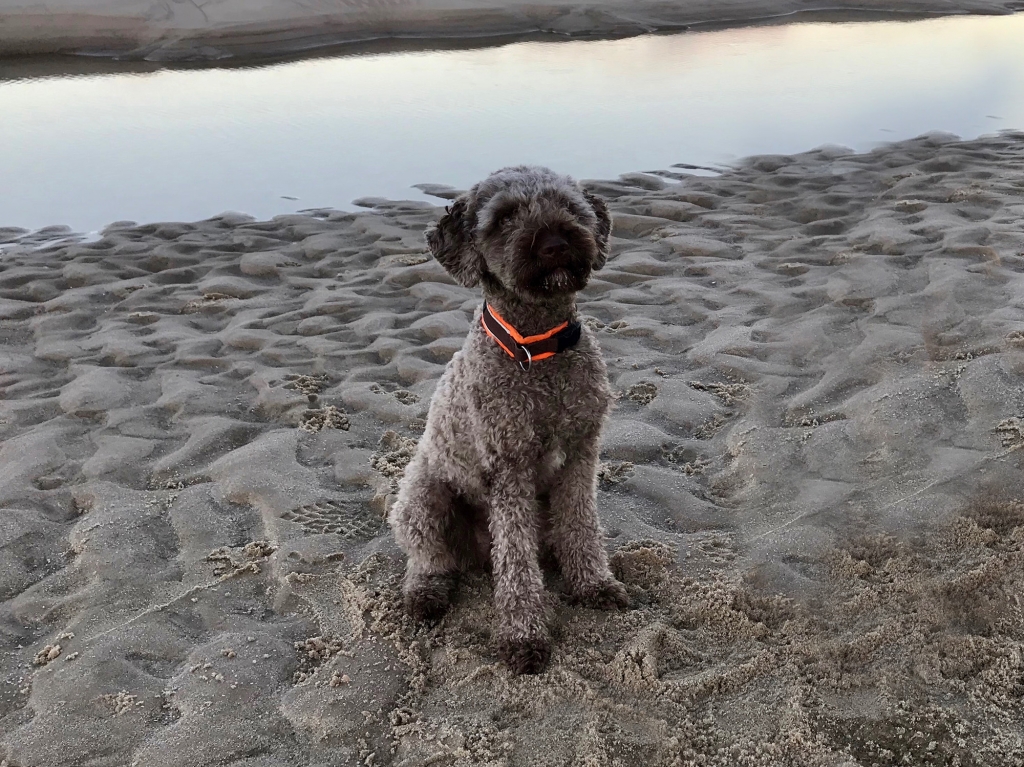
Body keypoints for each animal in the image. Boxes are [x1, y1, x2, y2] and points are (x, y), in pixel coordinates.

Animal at [385, 164, 626, 671]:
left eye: (570, 207)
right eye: (503, 218)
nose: (555, 241)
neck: (538, 349)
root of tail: (476, 554)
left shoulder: (581, 453)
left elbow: (581, 524)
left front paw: (593, 583)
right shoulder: (509, 467)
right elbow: (515, 562)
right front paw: (522, 635)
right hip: (423, 496)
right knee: (429, 557)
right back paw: (426, 593)